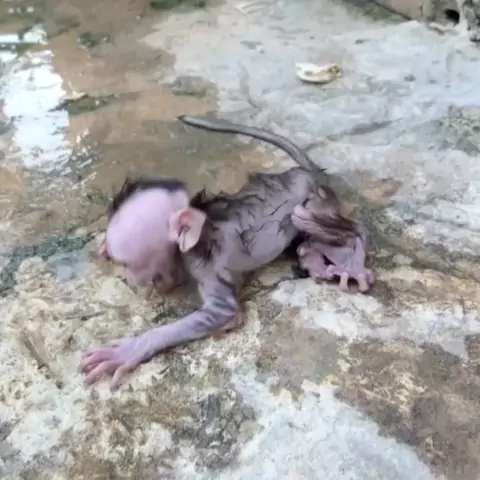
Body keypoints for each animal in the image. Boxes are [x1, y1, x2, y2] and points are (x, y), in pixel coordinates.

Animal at [79, 115, 374, 391]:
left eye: (129, 265)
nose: (131, 280)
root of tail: (305, 172)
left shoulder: (204, 266)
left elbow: (225, 313)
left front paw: (131, 349)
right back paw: (310, 255)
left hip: (317, 203)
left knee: (319, 219)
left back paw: (351, 260)